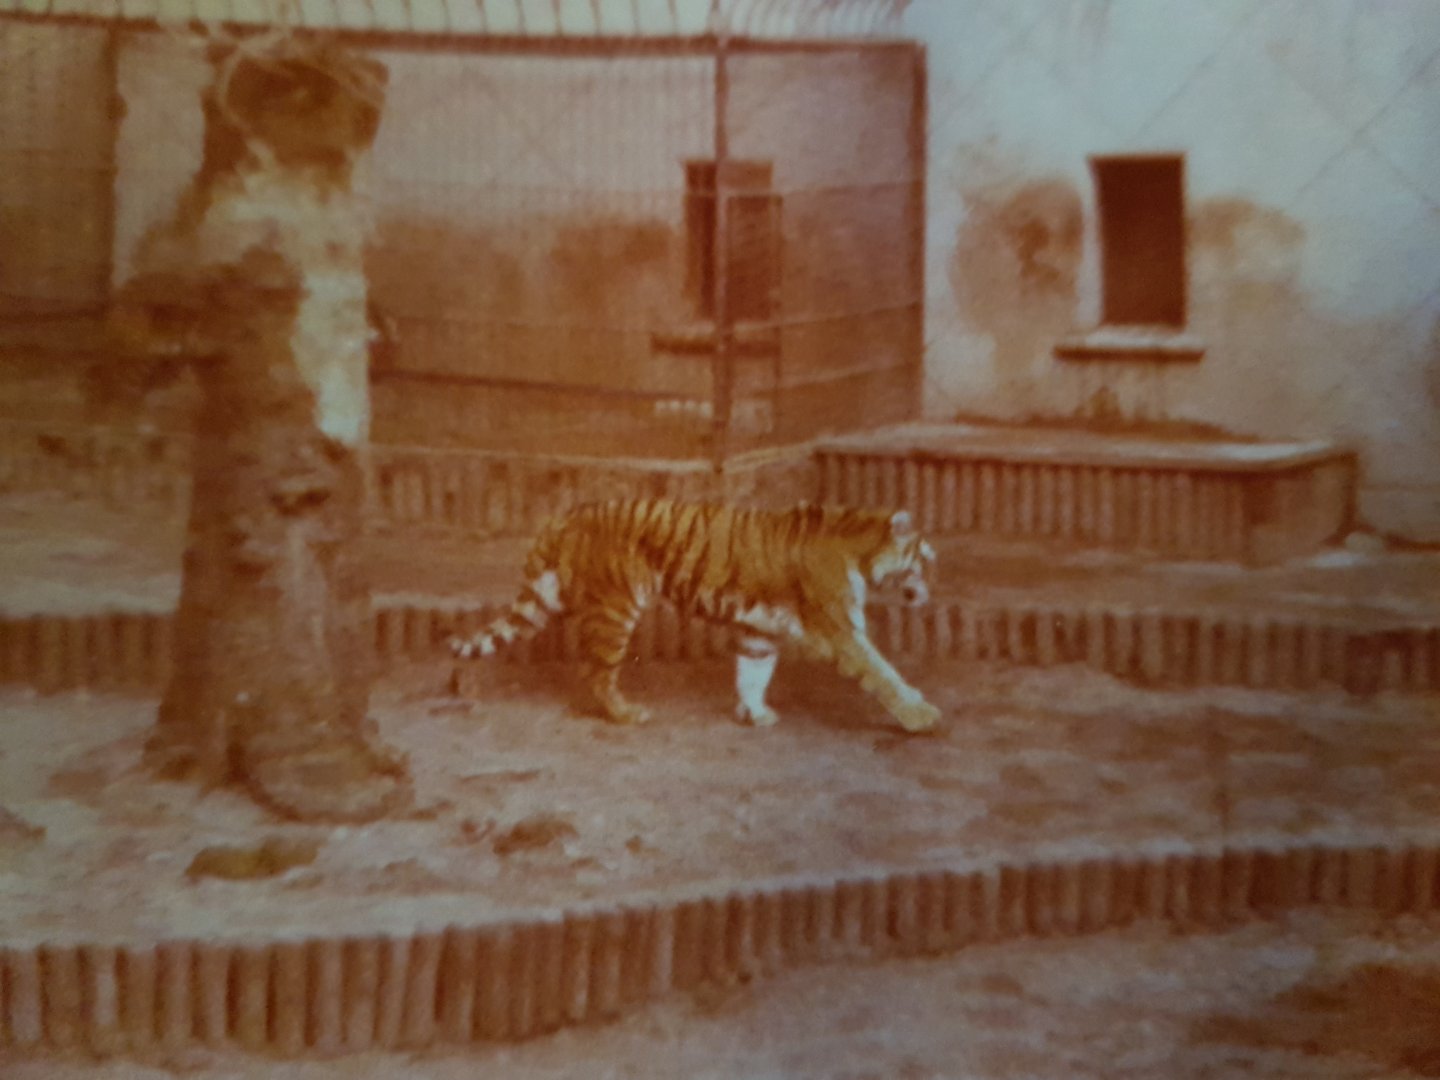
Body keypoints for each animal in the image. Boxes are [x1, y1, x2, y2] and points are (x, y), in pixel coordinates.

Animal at [448, 498, 940, 733]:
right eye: (922, 560)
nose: (927, 594)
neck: (859, 546)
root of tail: (564, 516)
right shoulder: (841, 630)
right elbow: (884, 674)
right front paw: (921, 717)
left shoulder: (758, 633)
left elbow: (752, 673)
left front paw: (754, 714)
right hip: (616, 609)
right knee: (597, 673)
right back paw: (628, 714)